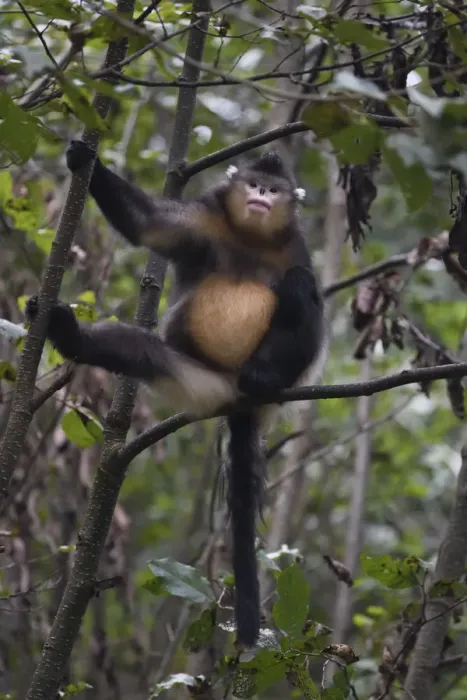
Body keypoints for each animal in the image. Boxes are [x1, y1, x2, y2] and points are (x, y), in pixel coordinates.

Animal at [25, 141, 325, 647]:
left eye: (274, 190)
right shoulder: (205, 220)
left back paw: (263, 376)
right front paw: (85, 160)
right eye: (252, 184)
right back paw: (71, 336)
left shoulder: (295, 245)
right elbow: (148, 224)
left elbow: (312, 301)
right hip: (200, 381)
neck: (251, 238)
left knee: (299, 286)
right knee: (142, 351)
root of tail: (236, 394)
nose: (260, 196)